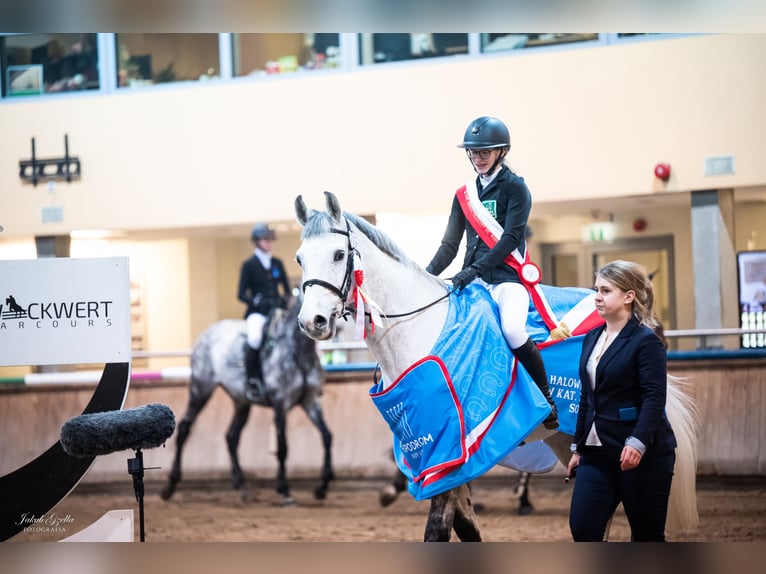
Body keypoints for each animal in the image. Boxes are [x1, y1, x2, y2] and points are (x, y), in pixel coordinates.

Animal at [162, 300, 336, 506]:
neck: (299, 351)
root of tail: (208, 333)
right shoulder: (280, 404)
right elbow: (283, 447)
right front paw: (284, 490)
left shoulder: (310, 402)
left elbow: (327, 436)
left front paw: (322, 488)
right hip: (201, 389)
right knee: (184, 429)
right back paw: (170, 487)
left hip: (242, 402)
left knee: (231, 436)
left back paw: (242, 487)